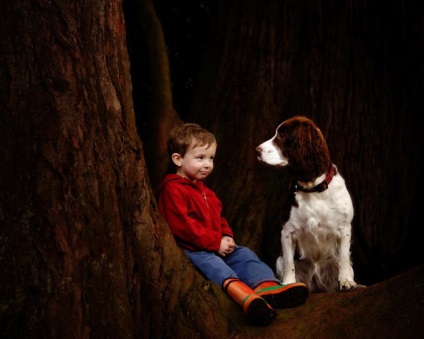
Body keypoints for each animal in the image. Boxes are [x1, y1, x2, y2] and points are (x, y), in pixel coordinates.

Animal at [255, 116, 358, 292]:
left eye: (282, 136)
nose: (257, 150)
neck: (314, 189)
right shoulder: (287, 231)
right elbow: (289, 263)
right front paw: (289, 284)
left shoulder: (344, 228)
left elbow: (344, 258)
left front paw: (346, 281)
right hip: (279, 260)